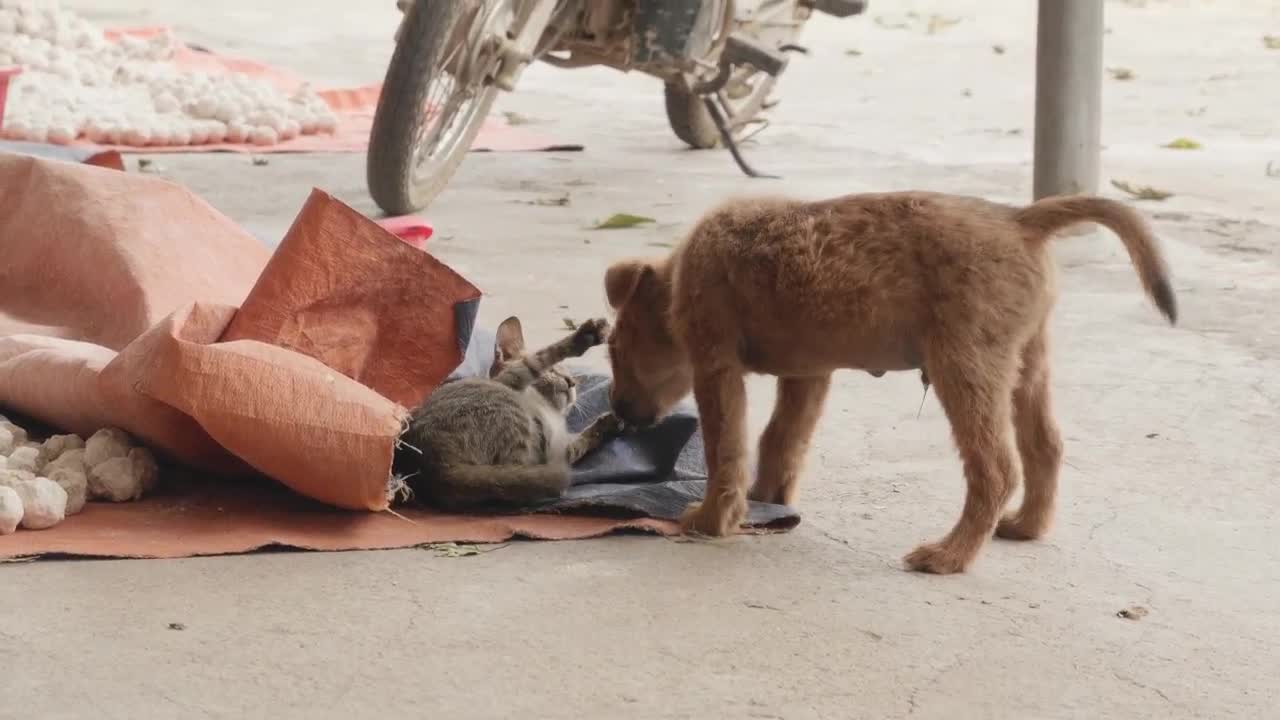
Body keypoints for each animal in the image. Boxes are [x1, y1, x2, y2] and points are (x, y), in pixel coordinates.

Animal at [394, 315, 624, 509]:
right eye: (554, 371)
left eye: (572, 376)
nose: (572, 382)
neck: (548, 409)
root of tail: (435, 467)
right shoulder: (514, 378)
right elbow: (544, 356)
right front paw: (586, 335)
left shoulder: (561, 449)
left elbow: (581, 441)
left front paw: (610, 422)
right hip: (512, 411)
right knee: (512, 481)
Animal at [604, 190, 1172, 571]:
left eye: (614, 347)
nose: (620, 414)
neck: (677, 276)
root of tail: (1022, 219)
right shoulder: (808, 374)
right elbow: (780, 441)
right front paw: (769, 501)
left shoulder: (715, 365)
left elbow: (726, 448)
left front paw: (711, 520)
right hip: (1025, 363)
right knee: (1045, 446)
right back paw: (1025, 526)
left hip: (963, 366)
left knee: (995, 467)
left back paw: (948, 555)